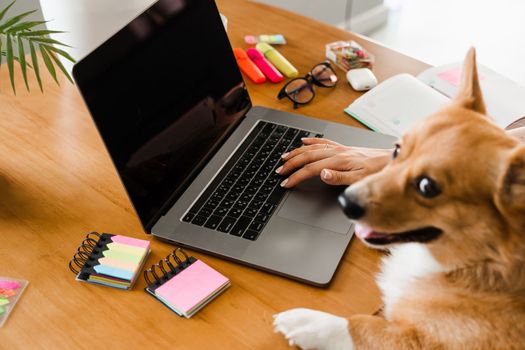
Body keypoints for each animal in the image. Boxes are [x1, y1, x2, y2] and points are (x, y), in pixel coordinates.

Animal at [272, 47, 524, 348]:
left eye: (427, 187)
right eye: (396, 151)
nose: (344, 202)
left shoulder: (420, 339)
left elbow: (360, 326)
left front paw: (304, 321)